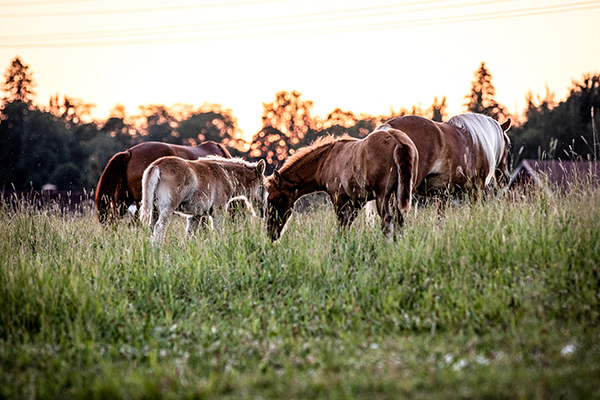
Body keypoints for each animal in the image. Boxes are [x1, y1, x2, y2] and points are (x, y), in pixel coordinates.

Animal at [264, 128, 420, 241]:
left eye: (273, 199)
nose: (271, 234)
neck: (326, 160)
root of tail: (398, 142)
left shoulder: (338, 197)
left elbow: (341, 225)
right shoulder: (357, 201)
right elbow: (347, 224)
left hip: (383, 195)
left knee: (387, 220)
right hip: (399, 192)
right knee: (399, 220)